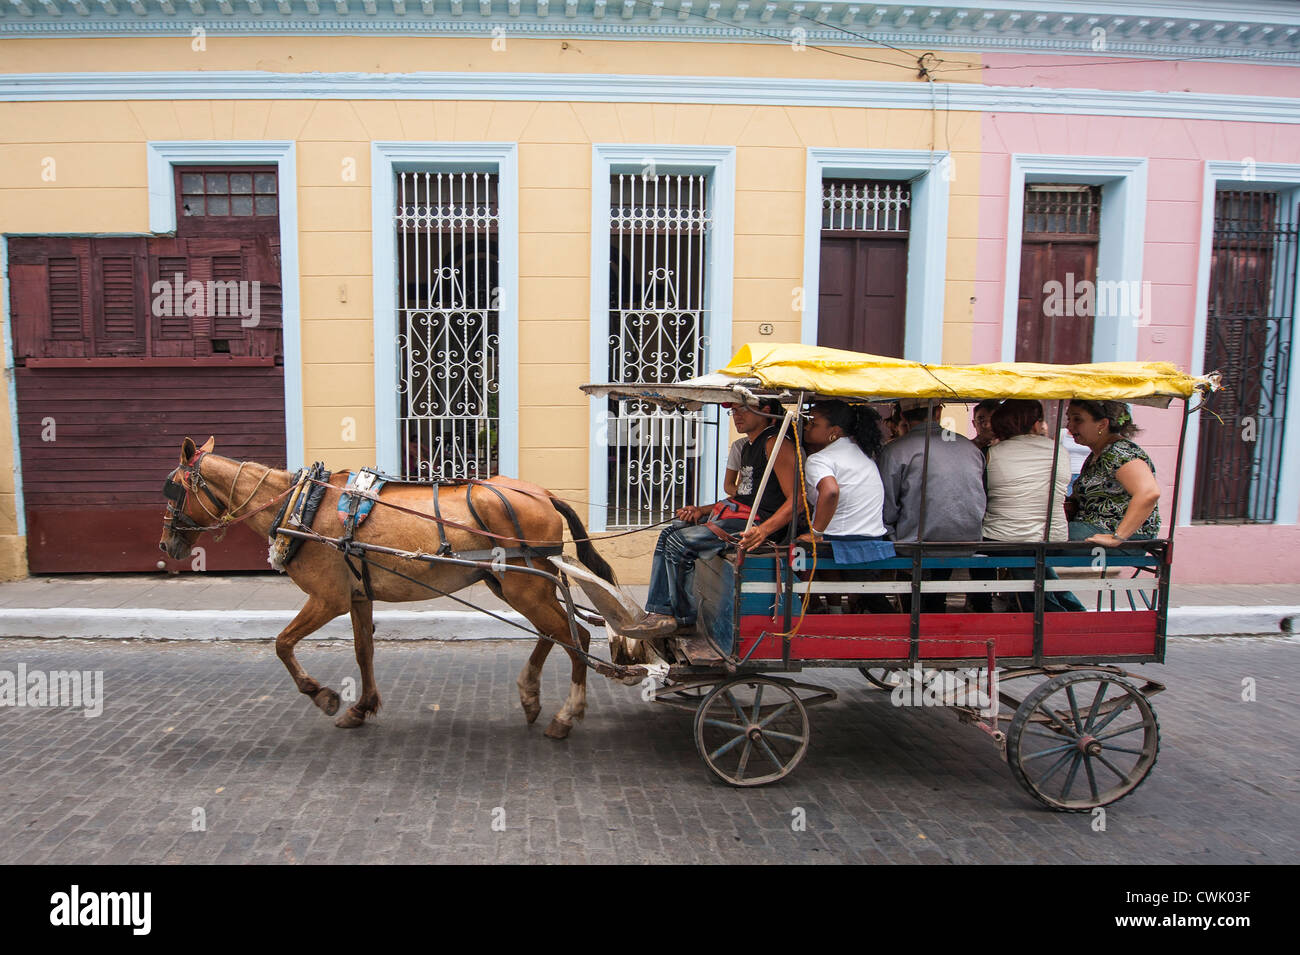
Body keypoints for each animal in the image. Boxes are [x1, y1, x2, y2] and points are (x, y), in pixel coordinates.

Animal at [158, 436, 618, 743]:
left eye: (173, 488)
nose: (165, 545)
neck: (301, 506)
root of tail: (544, 494)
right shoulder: (358, 595)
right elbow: (364, 652)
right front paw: (361, 708)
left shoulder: (327, 599)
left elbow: (282, 643)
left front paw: (323, 695)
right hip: (519, 582)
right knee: (555, 631)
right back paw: (531, 696)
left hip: (525, 585)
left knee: (576, 635)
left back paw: (566, 714)